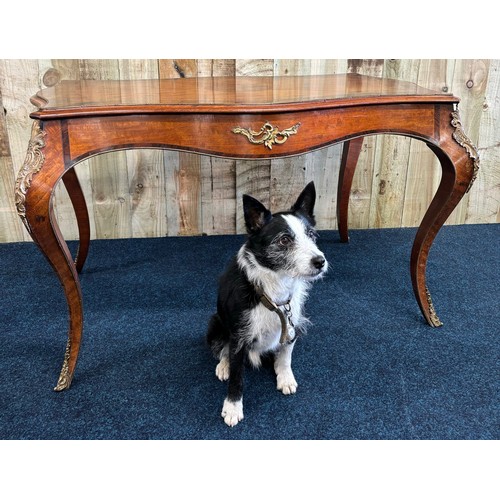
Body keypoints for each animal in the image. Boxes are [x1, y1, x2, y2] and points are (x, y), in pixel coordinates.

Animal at [205, 182, 326, 428]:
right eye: (284, 240)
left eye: (312, 235)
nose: (320, 262)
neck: (274, 290)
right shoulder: (239, 337)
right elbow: (237, 376)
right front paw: (232, 408)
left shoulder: (292, 324)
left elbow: (286, 356)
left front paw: (285, 377)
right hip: (215, 324)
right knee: (222, 351)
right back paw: (223, 366)